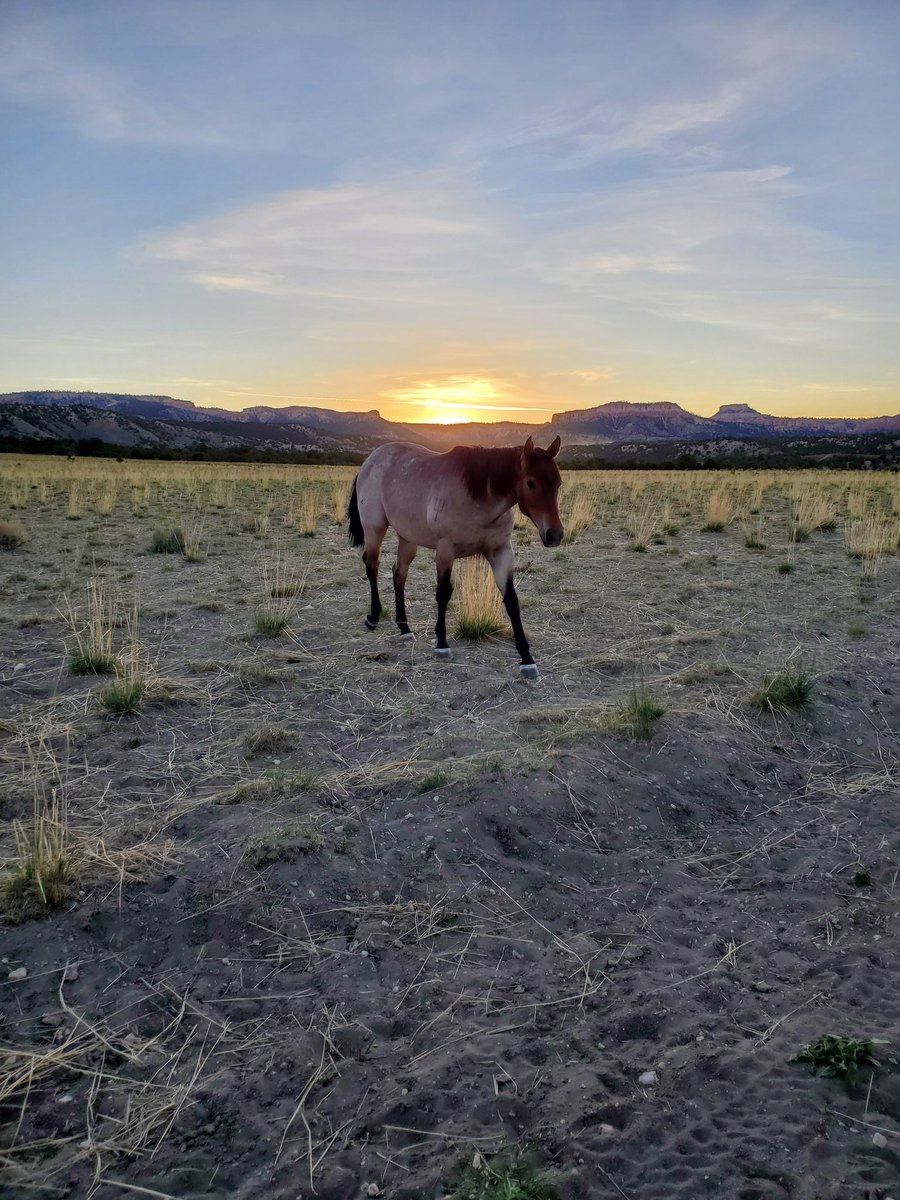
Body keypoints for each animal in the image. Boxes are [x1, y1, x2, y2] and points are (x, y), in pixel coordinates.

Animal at [347, 436, 564, 678]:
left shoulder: (501, 552)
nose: (554, 535)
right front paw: (442, 644)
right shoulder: (445, 550)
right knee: (372, 566)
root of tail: (368, 462)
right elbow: (443, 593)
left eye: (558, 483)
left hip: (407, 538)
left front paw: (526, 658)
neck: (479, 498)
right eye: (531, 483)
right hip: (374, 529)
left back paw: (404, 627)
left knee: (399, 574)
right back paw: (373, 617)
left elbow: (511, 601)